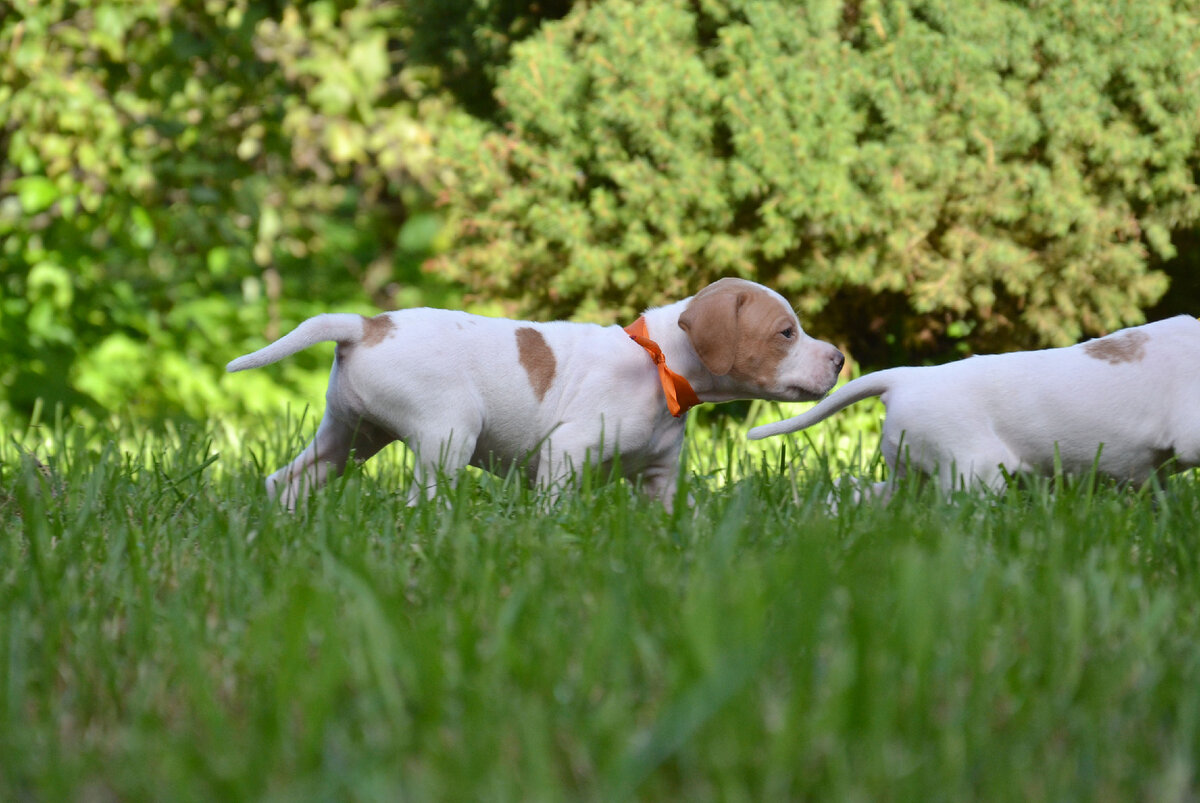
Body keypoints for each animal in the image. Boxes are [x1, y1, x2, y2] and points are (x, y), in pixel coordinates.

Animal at [225, 277, 844, 506]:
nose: (840, 358)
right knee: (422, 500)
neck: (658, 363)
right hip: (447, 434)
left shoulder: (659, 478)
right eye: (786, 333)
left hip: (350, 435)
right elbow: (553, 508)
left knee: (287, 479)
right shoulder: (565, 454)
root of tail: (366, 325)